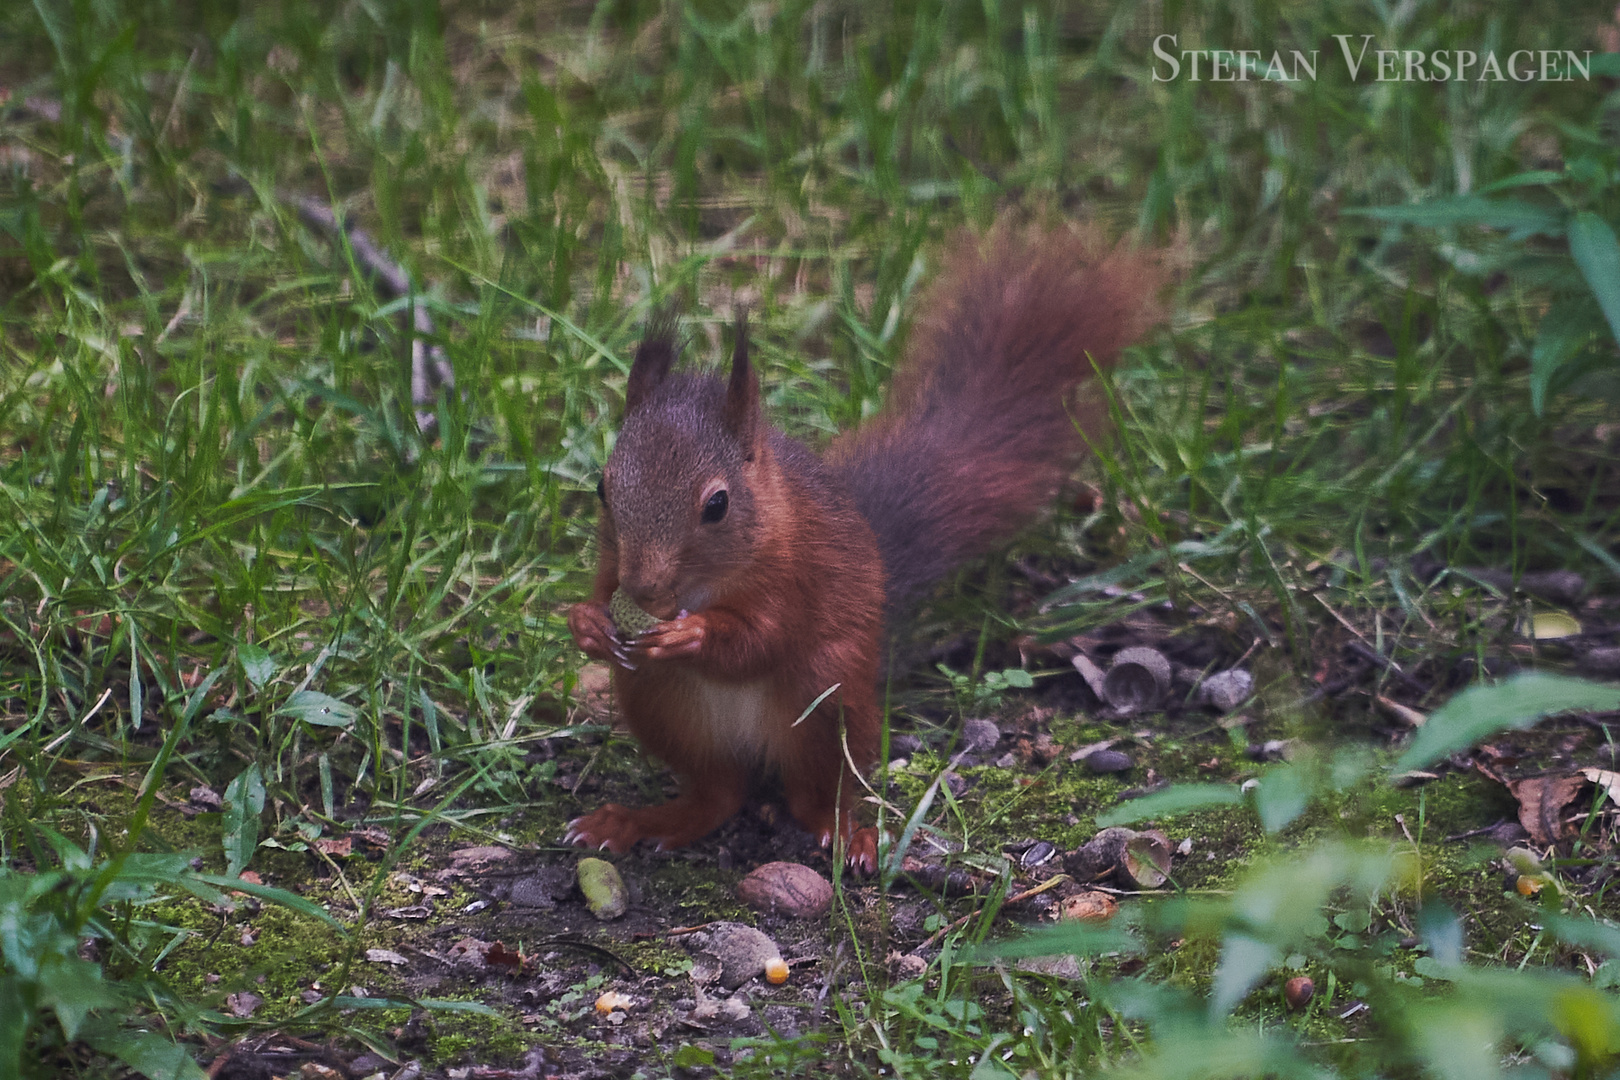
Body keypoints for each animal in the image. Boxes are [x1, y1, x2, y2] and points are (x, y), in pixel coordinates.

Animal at [563, 226, 1159, 867]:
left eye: (717, 505)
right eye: (601, 487)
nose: (644, 589)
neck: (705, 583)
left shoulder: (795, 576)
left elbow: (762, 640)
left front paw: (691, 634)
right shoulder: (613, 565)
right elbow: (600, 593)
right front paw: (587, 623)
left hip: (829, 701)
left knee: (817, 792)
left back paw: (847, 831)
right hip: (660, 705)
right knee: (717, 795)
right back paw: (637, 821)